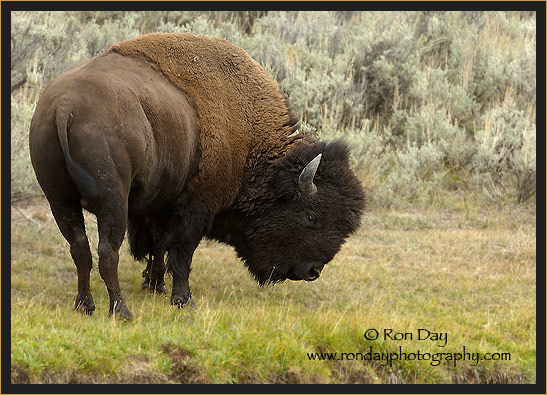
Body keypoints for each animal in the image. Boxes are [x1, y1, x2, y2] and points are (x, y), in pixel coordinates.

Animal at [27, 32, 366, 320]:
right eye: (310, 216)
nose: (312, 271)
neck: (251, 142)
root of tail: (64, 107)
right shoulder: (195, 210)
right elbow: (181, 255)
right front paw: (183, 300)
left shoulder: (160, 204)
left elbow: (159, 246)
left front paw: (155, 285)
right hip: (113, 202)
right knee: (106, 252)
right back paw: (120, 311)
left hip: (60, 200)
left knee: (80, 249)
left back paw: (85, 305)